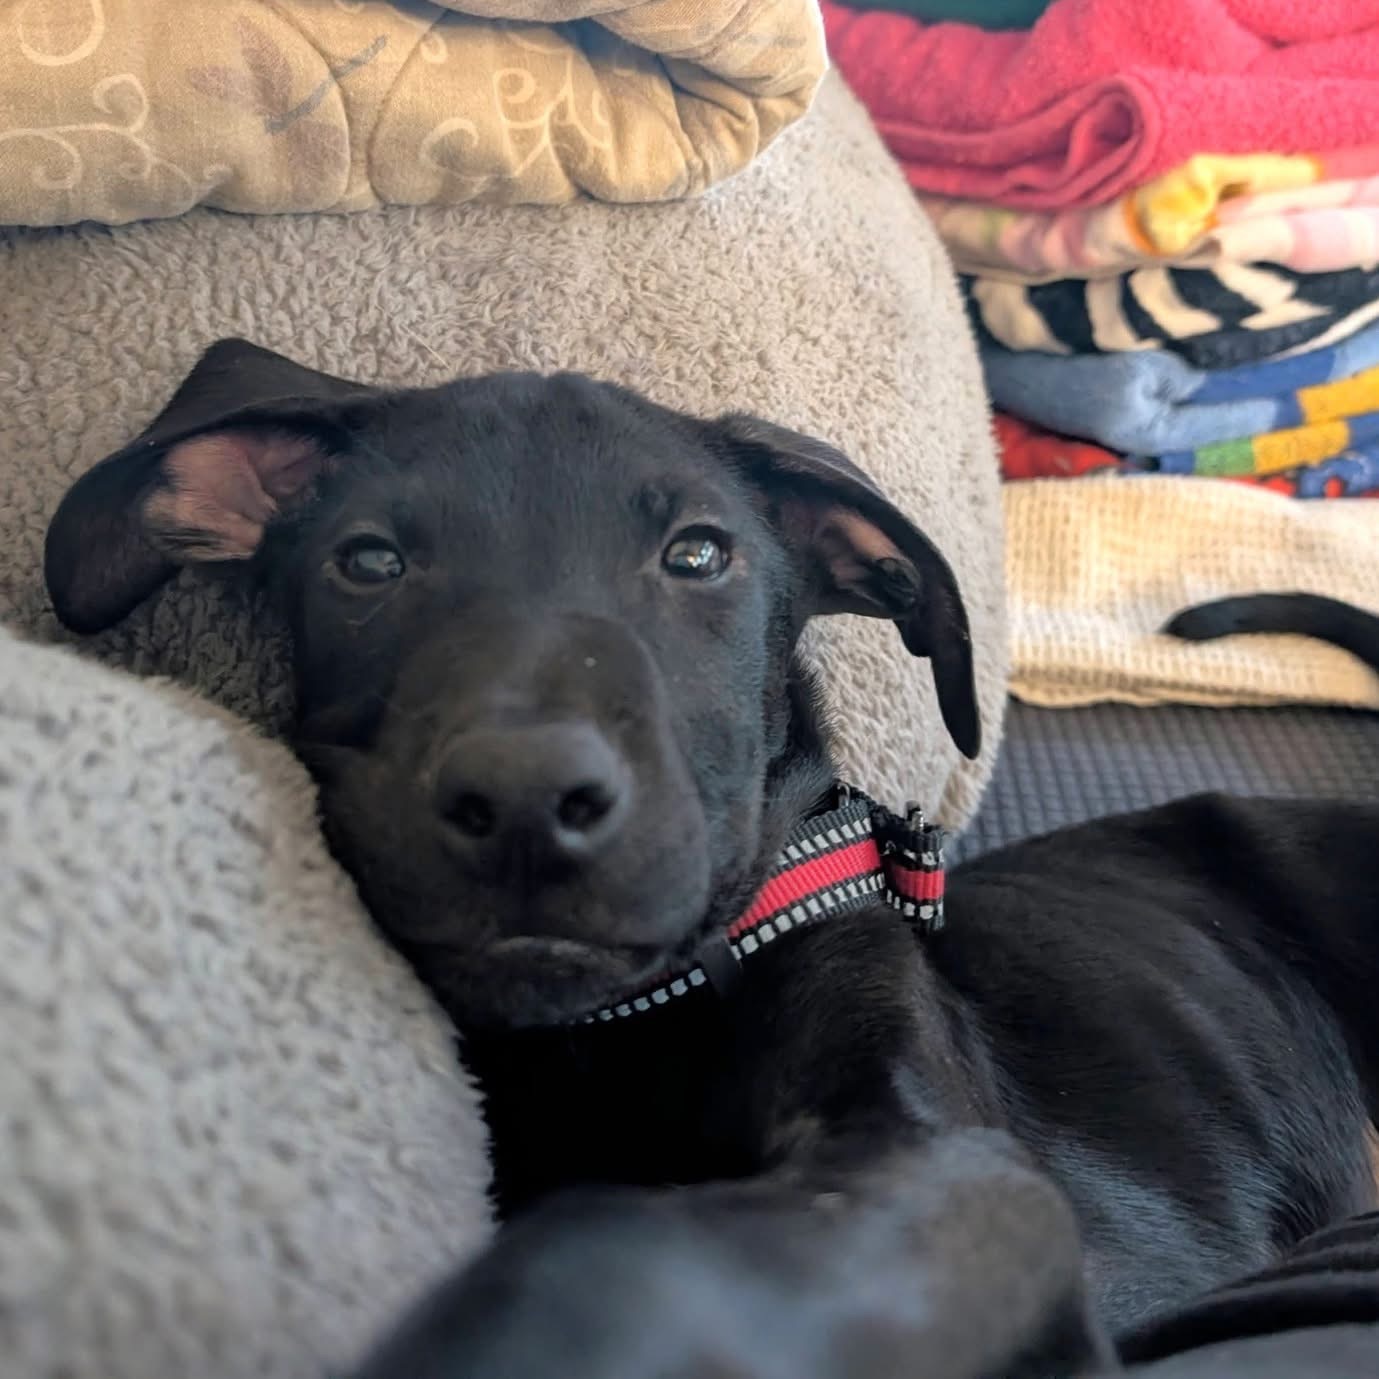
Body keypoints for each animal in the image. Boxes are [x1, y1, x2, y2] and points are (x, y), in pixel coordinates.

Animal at [43, 340, 1379, 1378]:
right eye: (366, 561)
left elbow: (628, 1248)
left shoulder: (942, 1156)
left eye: (697, 555)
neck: (619, 1029)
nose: (525, 800)